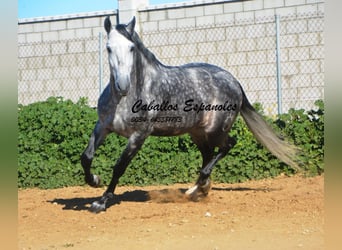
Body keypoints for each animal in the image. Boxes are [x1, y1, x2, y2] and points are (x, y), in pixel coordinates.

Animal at [80, 16, 300, 213]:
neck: (127, 99)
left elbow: (119, 166)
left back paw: (199, 186)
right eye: (108, 48)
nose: (123, 85)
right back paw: (199, 189)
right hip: (197, 133)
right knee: (208, 154)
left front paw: (101, 202)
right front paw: (95, 181)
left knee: (228, 145)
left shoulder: (139, 135)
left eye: (131, 48)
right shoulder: (103, 126)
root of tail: (234, 81)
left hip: (216, 130)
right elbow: (86, 157)